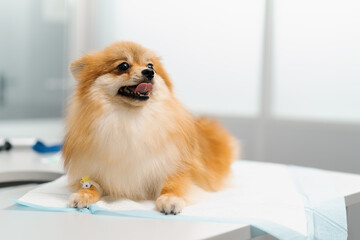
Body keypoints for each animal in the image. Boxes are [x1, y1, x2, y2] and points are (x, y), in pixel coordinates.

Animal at [63, 40, 238, 214]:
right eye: (123, 66)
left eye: (151, 65)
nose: (149, 72)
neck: (132, 120)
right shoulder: (97, 170)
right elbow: (91, 185)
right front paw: (83, 194)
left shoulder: (174, 166)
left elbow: (174, 184)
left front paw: (170, 199)